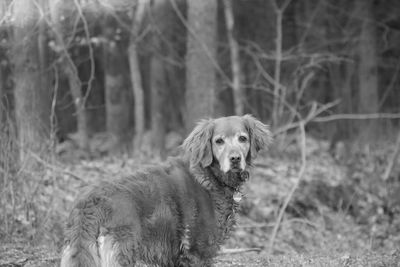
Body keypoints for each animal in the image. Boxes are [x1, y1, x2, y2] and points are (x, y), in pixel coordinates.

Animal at [59, 115, 272, 267]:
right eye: (219, 141)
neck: (209, 177)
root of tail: (90, 201)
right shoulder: (198, 251)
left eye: (242, 139)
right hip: (122, 251)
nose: (235, 159)